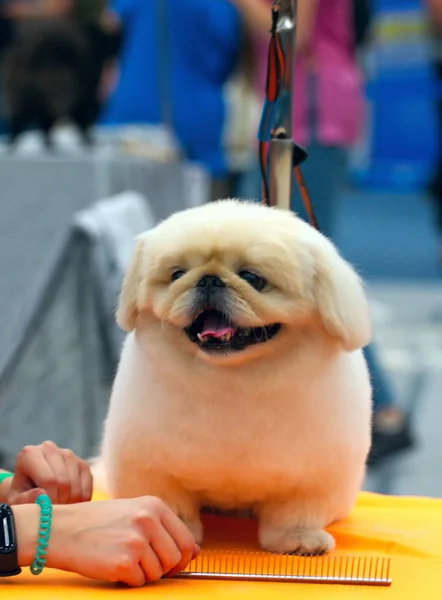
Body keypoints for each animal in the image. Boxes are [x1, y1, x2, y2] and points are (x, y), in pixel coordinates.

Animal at [95, 199, 372, 556]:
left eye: (253, 278)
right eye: (177, 274)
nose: (209, 280)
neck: (233, 379)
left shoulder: (312, 477)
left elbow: (295, 513)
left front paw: (299, 540)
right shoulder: (153, 470)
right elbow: (170, 506)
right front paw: (172, 532)